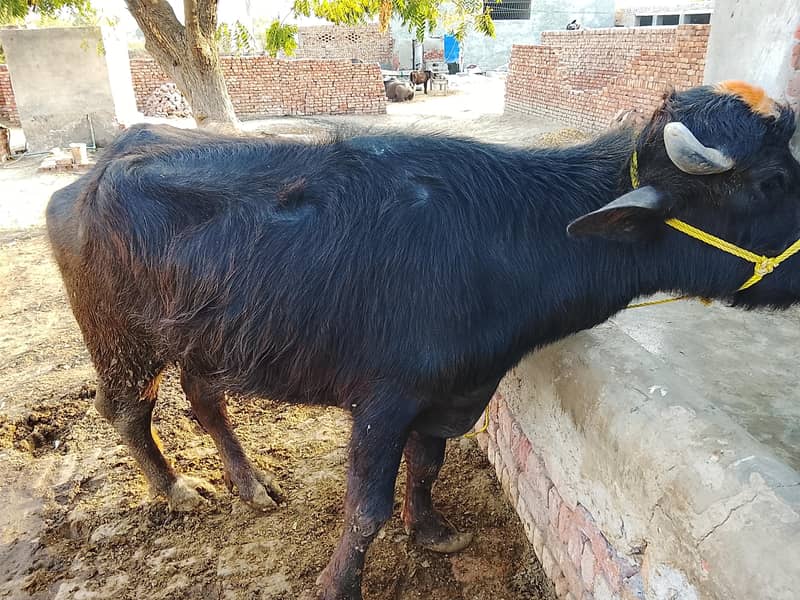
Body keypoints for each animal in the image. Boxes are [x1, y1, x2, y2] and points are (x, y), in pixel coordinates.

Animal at [46, 81, 800, 599]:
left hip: (211, 337)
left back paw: (251, 483)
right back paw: (177, 489)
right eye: (771, 181)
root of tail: (92, 176)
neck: (512, 239)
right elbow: (365, 508)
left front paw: (433, 531)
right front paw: (338, 585)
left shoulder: (455, 392)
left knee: (204, 400)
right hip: (119, 340)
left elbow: (430, 463)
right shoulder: (383, 402)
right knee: (128, 410)